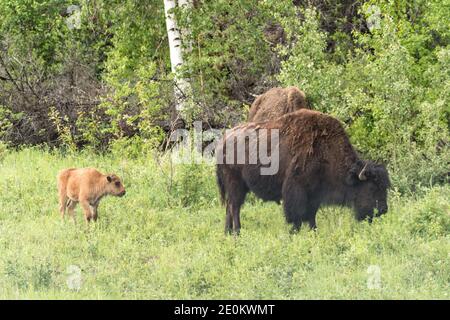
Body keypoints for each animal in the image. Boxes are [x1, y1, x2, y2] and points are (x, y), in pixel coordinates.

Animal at [216, 109, 388, 234]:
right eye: (371, 187)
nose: (383, 210)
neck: (326, 150)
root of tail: (223, 140)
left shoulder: (315, 194)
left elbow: (311, 216)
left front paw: (314, 232)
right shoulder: (297, 190)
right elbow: (297, 216)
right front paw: (294, 233)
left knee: (230, 207)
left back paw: (227, 232)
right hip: (235, 184)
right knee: (234, 207)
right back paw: (237, 232)